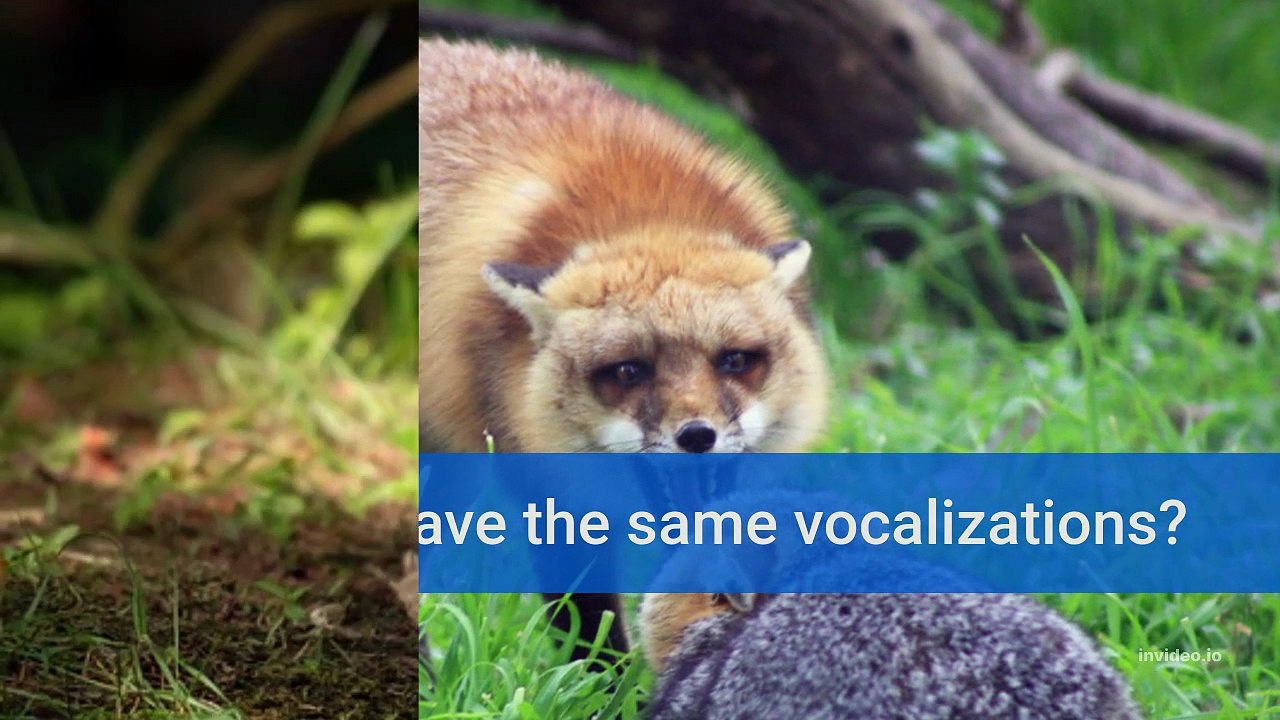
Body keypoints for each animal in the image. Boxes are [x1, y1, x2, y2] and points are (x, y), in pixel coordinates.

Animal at [419, 38, 830, 660]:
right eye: (628, 371)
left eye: (735, 361)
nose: (697, 437)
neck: (640, 207)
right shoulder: (543, 481)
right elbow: (588, 626)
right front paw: (609, 681)